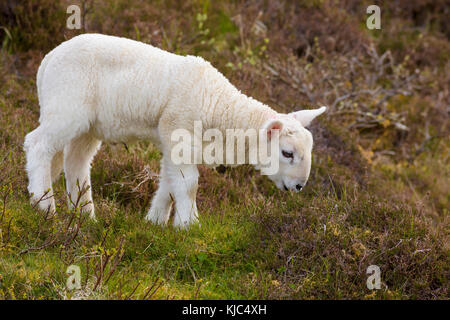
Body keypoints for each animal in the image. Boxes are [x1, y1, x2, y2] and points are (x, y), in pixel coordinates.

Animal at [24, 33, 326, 229]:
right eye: (287, 153)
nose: (299, 186)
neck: (217, 105)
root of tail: (47, 59)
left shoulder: (172, 140)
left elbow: (170, 182)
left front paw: (155, 223)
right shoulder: (178, 130)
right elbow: (188, 183)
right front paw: (190, 225)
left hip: (89, 124)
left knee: (75, 161)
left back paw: (84, 214)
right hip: (67, 105)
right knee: (38, 145)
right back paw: (44, 207)